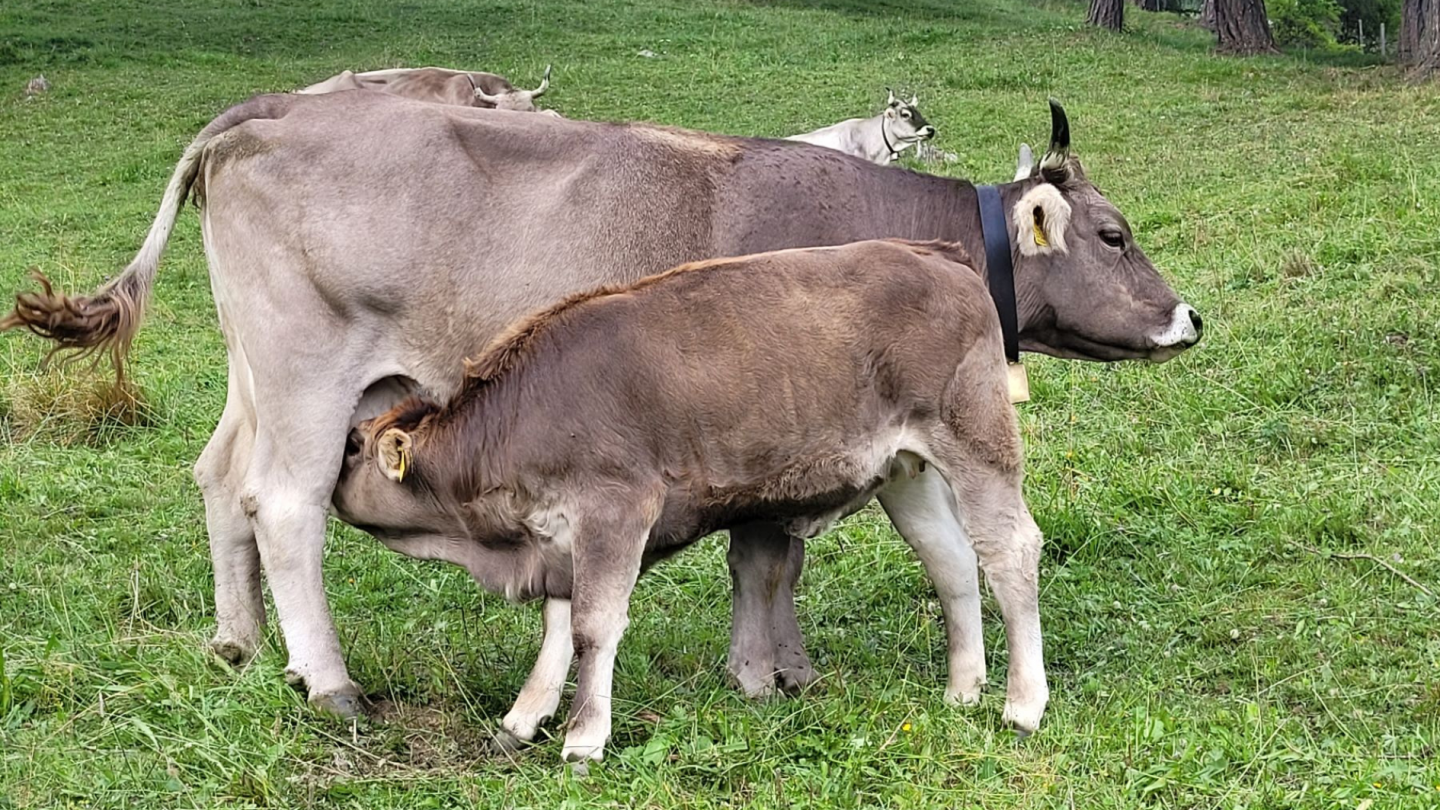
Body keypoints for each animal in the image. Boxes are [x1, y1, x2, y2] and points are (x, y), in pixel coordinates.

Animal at [328, 236, 1048, 760]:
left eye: (354, 446)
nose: (327, 477)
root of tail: (935, 253)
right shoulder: (561, 537)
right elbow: (559, 626)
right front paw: (524, 717)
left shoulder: (614, 512)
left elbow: (593, 626)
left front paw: (583, 739)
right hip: (908, 472)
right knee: (951, 561)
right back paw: (963, 688)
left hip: (976, 442)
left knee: (1010, 552)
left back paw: (1023, 704)